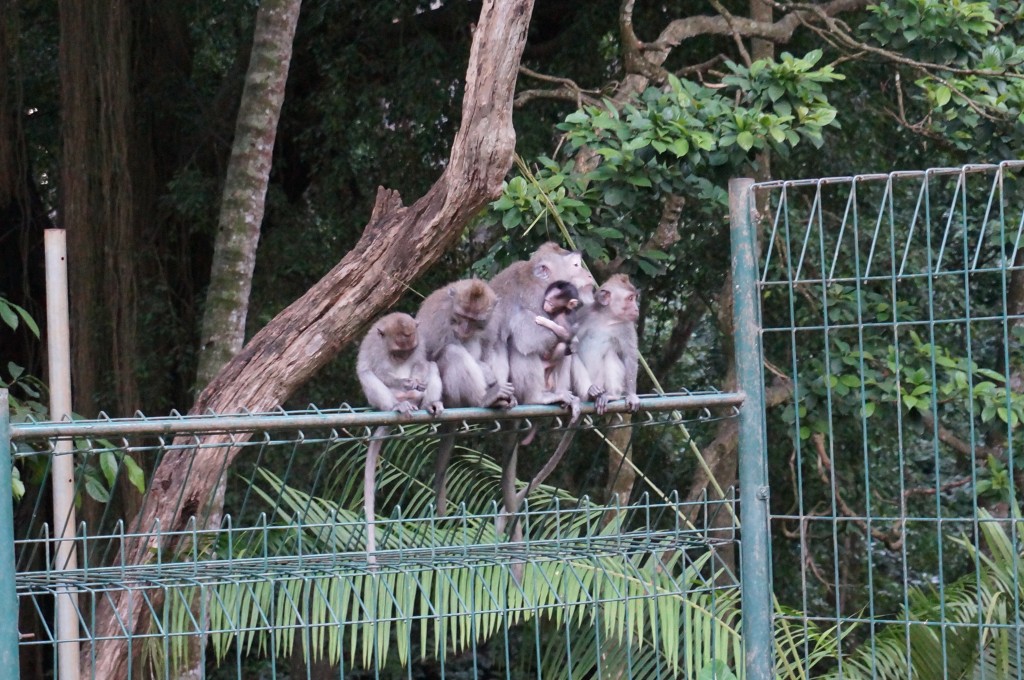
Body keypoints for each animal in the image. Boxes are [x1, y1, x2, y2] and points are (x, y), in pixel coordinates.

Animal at [356, 313, 444, 557]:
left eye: (409, 350)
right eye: (397, 352)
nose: (402, 357)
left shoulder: (421, 343)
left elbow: (423, 362)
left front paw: (417, 378)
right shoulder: (377, 348)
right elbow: (377, 371)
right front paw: (404, 381)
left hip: (419, 399)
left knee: (432, 367)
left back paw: (431, 404)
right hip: (386, 399)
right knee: (368, 375)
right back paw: (398, 405)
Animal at [415, 278, 516, 512]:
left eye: (474, 320)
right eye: (462, 316)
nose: (464, 329)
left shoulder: (493, 321)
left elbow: (492, 345)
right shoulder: (439, 319)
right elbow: (428, 356)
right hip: (450, 395)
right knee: (451, 351)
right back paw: (484, 398)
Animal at [569, 274, 638, 413]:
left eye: (634, 298)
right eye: (630, 298)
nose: (636, 309)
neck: (607, 317)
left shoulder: (627, 326)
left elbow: (629, 357)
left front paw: (632, 395)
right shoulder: (584, 312)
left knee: (610, 354)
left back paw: (611, 395)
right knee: (572, 355)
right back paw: (590, 392)